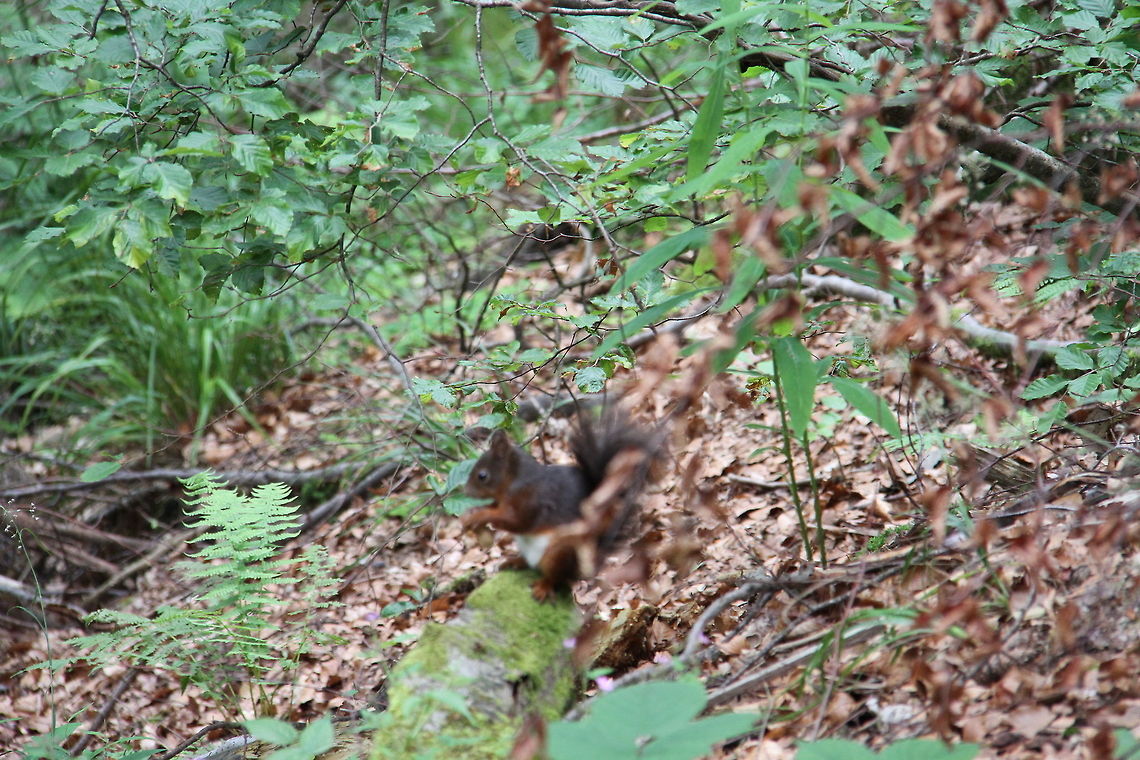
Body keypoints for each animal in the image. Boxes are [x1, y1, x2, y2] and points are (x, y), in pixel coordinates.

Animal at [461, 410, 656, 601]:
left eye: (482, 476)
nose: (465, 491)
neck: (515, 479)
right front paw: (473, 514)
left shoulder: (531, 500)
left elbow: (517, 521)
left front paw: (479, 516)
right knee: (531, 564)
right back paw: (514, 561)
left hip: (558, 553)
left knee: (555, 576)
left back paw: (542, 587)